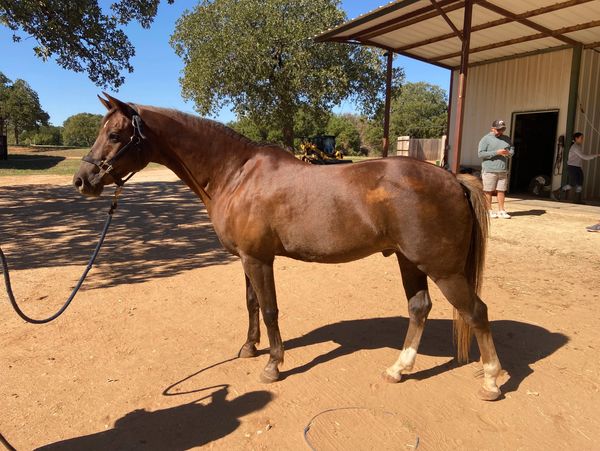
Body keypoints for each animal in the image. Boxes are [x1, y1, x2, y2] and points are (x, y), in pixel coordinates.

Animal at [74, 93, 506, 400]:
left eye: (115, 135)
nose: (82, 180)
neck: (235, 174)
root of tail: (452, 178)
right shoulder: (245, 259)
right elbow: (251, 303)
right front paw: (249, 348)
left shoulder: (259, 259)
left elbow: (269, 309)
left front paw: (273, 364)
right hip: (409, 261)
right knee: (419, 308)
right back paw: (399, 369)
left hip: (443, 269)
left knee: (477, 312)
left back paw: (490, 381)